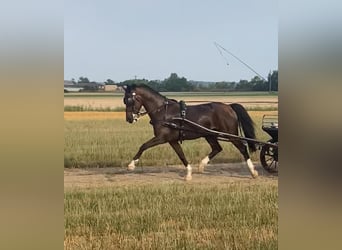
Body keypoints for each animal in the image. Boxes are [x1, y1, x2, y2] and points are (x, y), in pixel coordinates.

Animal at [121, 84, 258, 180]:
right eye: (124, 100)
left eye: (129, 100)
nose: (129, 119)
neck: (163, 112)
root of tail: (229, 106)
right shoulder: (172, 140)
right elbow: (181, 155)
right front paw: (188, 173)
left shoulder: (161, 138)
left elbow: (143, 146)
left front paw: (131, 165)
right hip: (209, 134)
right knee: (217, 148)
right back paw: (201, 166)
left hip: (231, 134)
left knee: (243, 148)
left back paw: (253, 172)